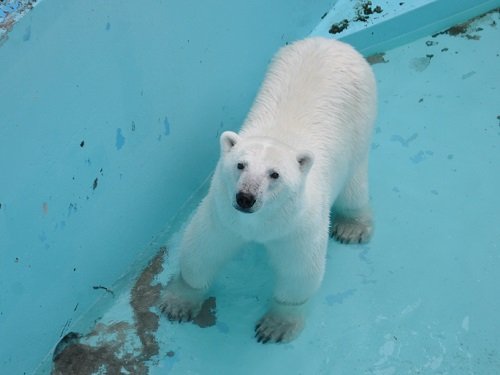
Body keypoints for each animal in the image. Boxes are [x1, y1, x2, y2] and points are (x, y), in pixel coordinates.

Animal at [160, 37, 376, 344]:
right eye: (240, 165)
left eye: (274, 174)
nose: (245, 198)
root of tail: (332, 41)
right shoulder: (223, 213)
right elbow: (202, 250)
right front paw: (179, 303)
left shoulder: (298, 224)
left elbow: (299, 273)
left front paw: (276, 326)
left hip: (360, 126)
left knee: (354, 186)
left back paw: (351, 228)